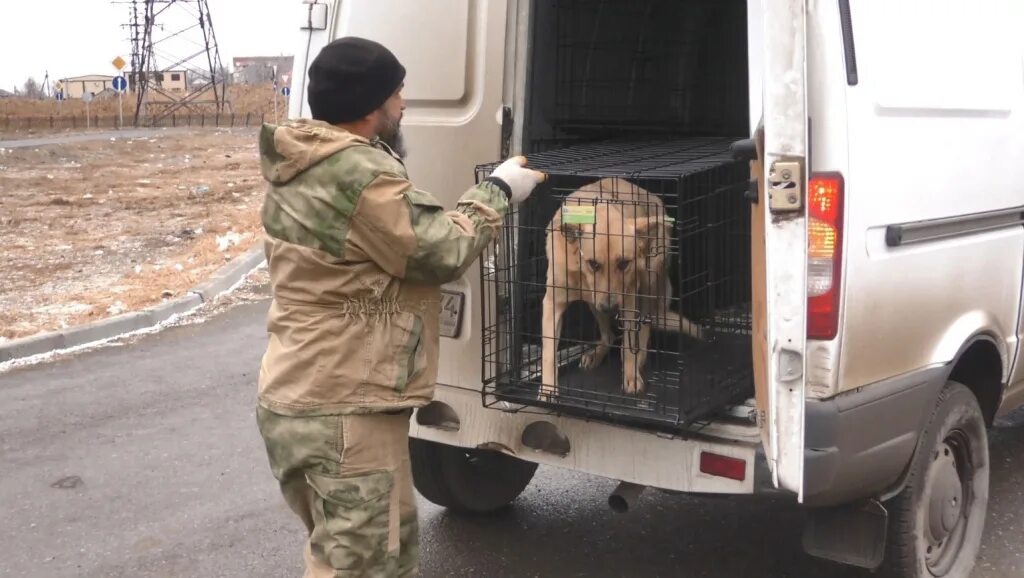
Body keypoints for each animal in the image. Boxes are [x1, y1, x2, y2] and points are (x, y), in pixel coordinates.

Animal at [540, 178, 700, 399]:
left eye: (624, 263)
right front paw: (547, 390)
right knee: (609, 336)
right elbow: (548, 352)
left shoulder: (629, 300)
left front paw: (631, 376)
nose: (610, 307)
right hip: (596, 304)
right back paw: (597, 353)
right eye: (593, 264)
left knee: (644, 326)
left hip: (649, 281)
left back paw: (639, 358)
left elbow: (629, 342)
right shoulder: (553, 304)